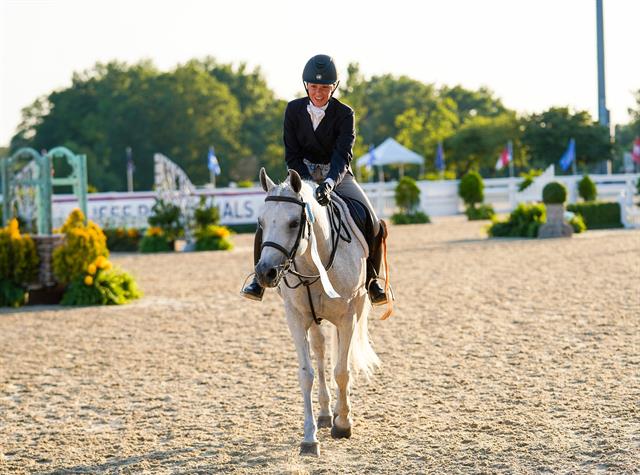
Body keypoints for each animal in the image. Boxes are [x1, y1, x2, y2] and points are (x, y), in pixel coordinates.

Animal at [255, 167, 381, 456]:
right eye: (261, 223)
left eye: (293, 223)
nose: (265, 273)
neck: (314, 263)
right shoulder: (296, 318)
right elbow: (307, 374)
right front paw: (309, 438)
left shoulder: (347, 317)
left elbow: (342, 371)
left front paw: (343, 424)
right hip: (314, 320)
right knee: (321, 352)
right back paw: (325, 414)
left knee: (339, 359)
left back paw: (338, 413)